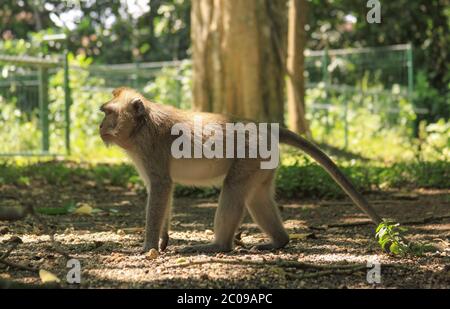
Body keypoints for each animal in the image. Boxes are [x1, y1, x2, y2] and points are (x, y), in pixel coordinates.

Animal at [100, 86, 382, 253]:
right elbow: (161, 190)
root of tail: (264, 128)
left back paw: (218, 246)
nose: (100, 126)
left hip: (250, 154)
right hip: (263, 161)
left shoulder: (150, 148)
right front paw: (162, 240)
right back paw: (279, 241)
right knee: (257, 196)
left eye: (108, 113)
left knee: (233, 189)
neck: (141, 125)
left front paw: (148, 246)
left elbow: (161, 187)